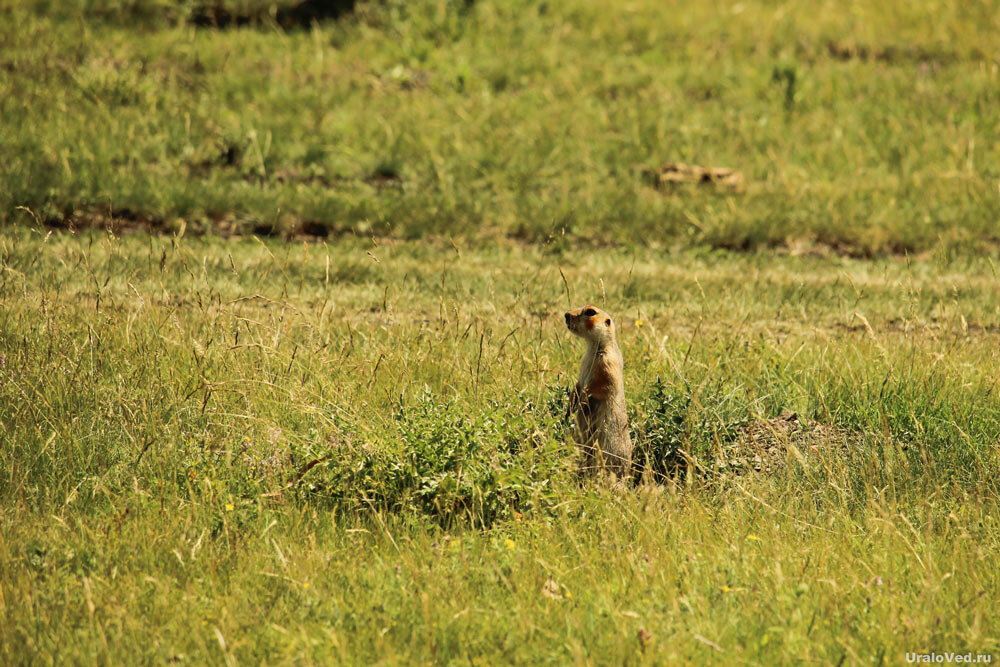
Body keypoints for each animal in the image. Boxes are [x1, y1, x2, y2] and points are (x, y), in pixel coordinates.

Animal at [564, 308, 632, 480]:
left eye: (590, 312)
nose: (566, 314)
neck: (593, 348)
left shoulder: (607, 363)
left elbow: (603, 386)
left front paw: (582, 398)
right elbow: (578, 384)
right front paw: (570, 406)